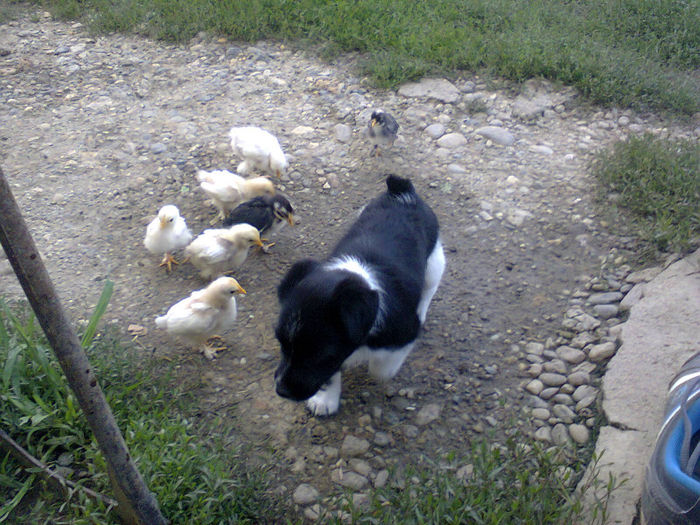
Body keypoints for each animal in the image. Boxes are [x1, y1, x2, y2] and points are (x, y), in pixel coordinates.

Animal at [274, 175, 442, 414]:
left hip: (435, 260)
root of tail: (403, 193)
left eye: (319, 355)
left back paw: (423, 308)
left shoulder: (404, 335)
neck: (359, 275)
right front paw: (325, 399)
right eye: (280, 343)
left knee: (429, 288)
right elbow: (332, 374)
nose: (281, 391)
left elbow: (381, 369)